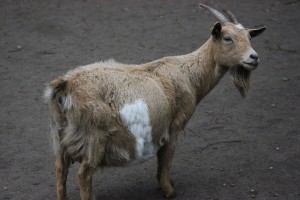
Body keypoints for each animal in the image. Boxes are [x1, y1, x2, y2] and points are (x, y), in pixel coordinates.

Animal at [44, 3, 264, 200]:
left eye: (248, 37)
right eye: (228, 38)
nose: (254, 57)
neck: (188, 75)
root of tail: (64, 86)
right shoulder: (174, 126)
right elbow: (166, 159)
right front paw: (169, 190)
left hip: (60, 139)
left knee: (60, 169)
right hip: (94, 139)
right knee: (84, 174)